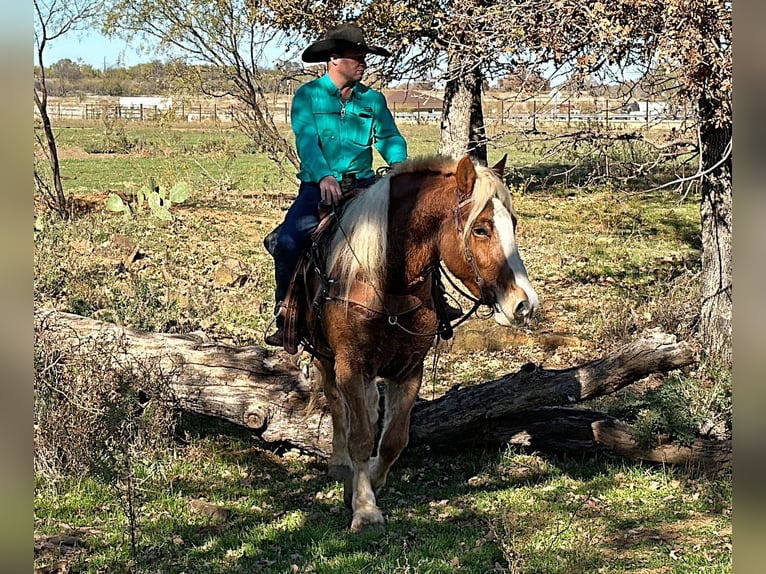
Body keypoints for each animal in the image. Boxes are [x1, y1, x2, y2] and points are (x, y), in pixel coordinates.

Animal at [294, 154, 540, 536]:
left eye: (512, 223)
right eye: (481, 229)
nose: (524, 304)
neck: (386, 284)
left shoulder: (409, 369)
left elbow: (394, 439)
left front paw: (373, 481)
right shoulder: (351, 365)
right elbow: (360, 436)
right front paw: (365, 509)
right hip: (324, 356)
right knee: (337, 405)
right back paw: (340, 463)